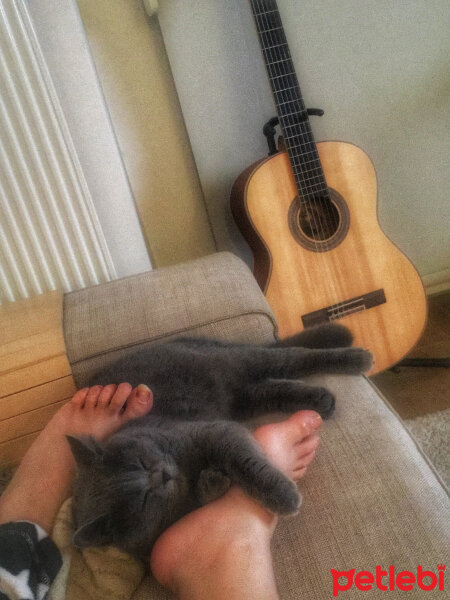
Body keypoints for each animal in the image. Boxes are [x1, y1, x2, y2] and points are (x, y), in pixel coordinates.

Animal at [67, 324, 372, 556]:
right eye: (142, 501)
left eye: (141, 462)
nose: (162, 474)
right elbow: (204, 495)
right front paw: (212, 481)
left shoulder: (212, 432)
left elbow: (246, 462)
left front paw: (284, 497)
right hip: (241, 397)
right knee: (272, 387)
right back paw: (323, 400)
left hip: (232, 363)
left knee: (292, 356)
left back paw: (358, 359)